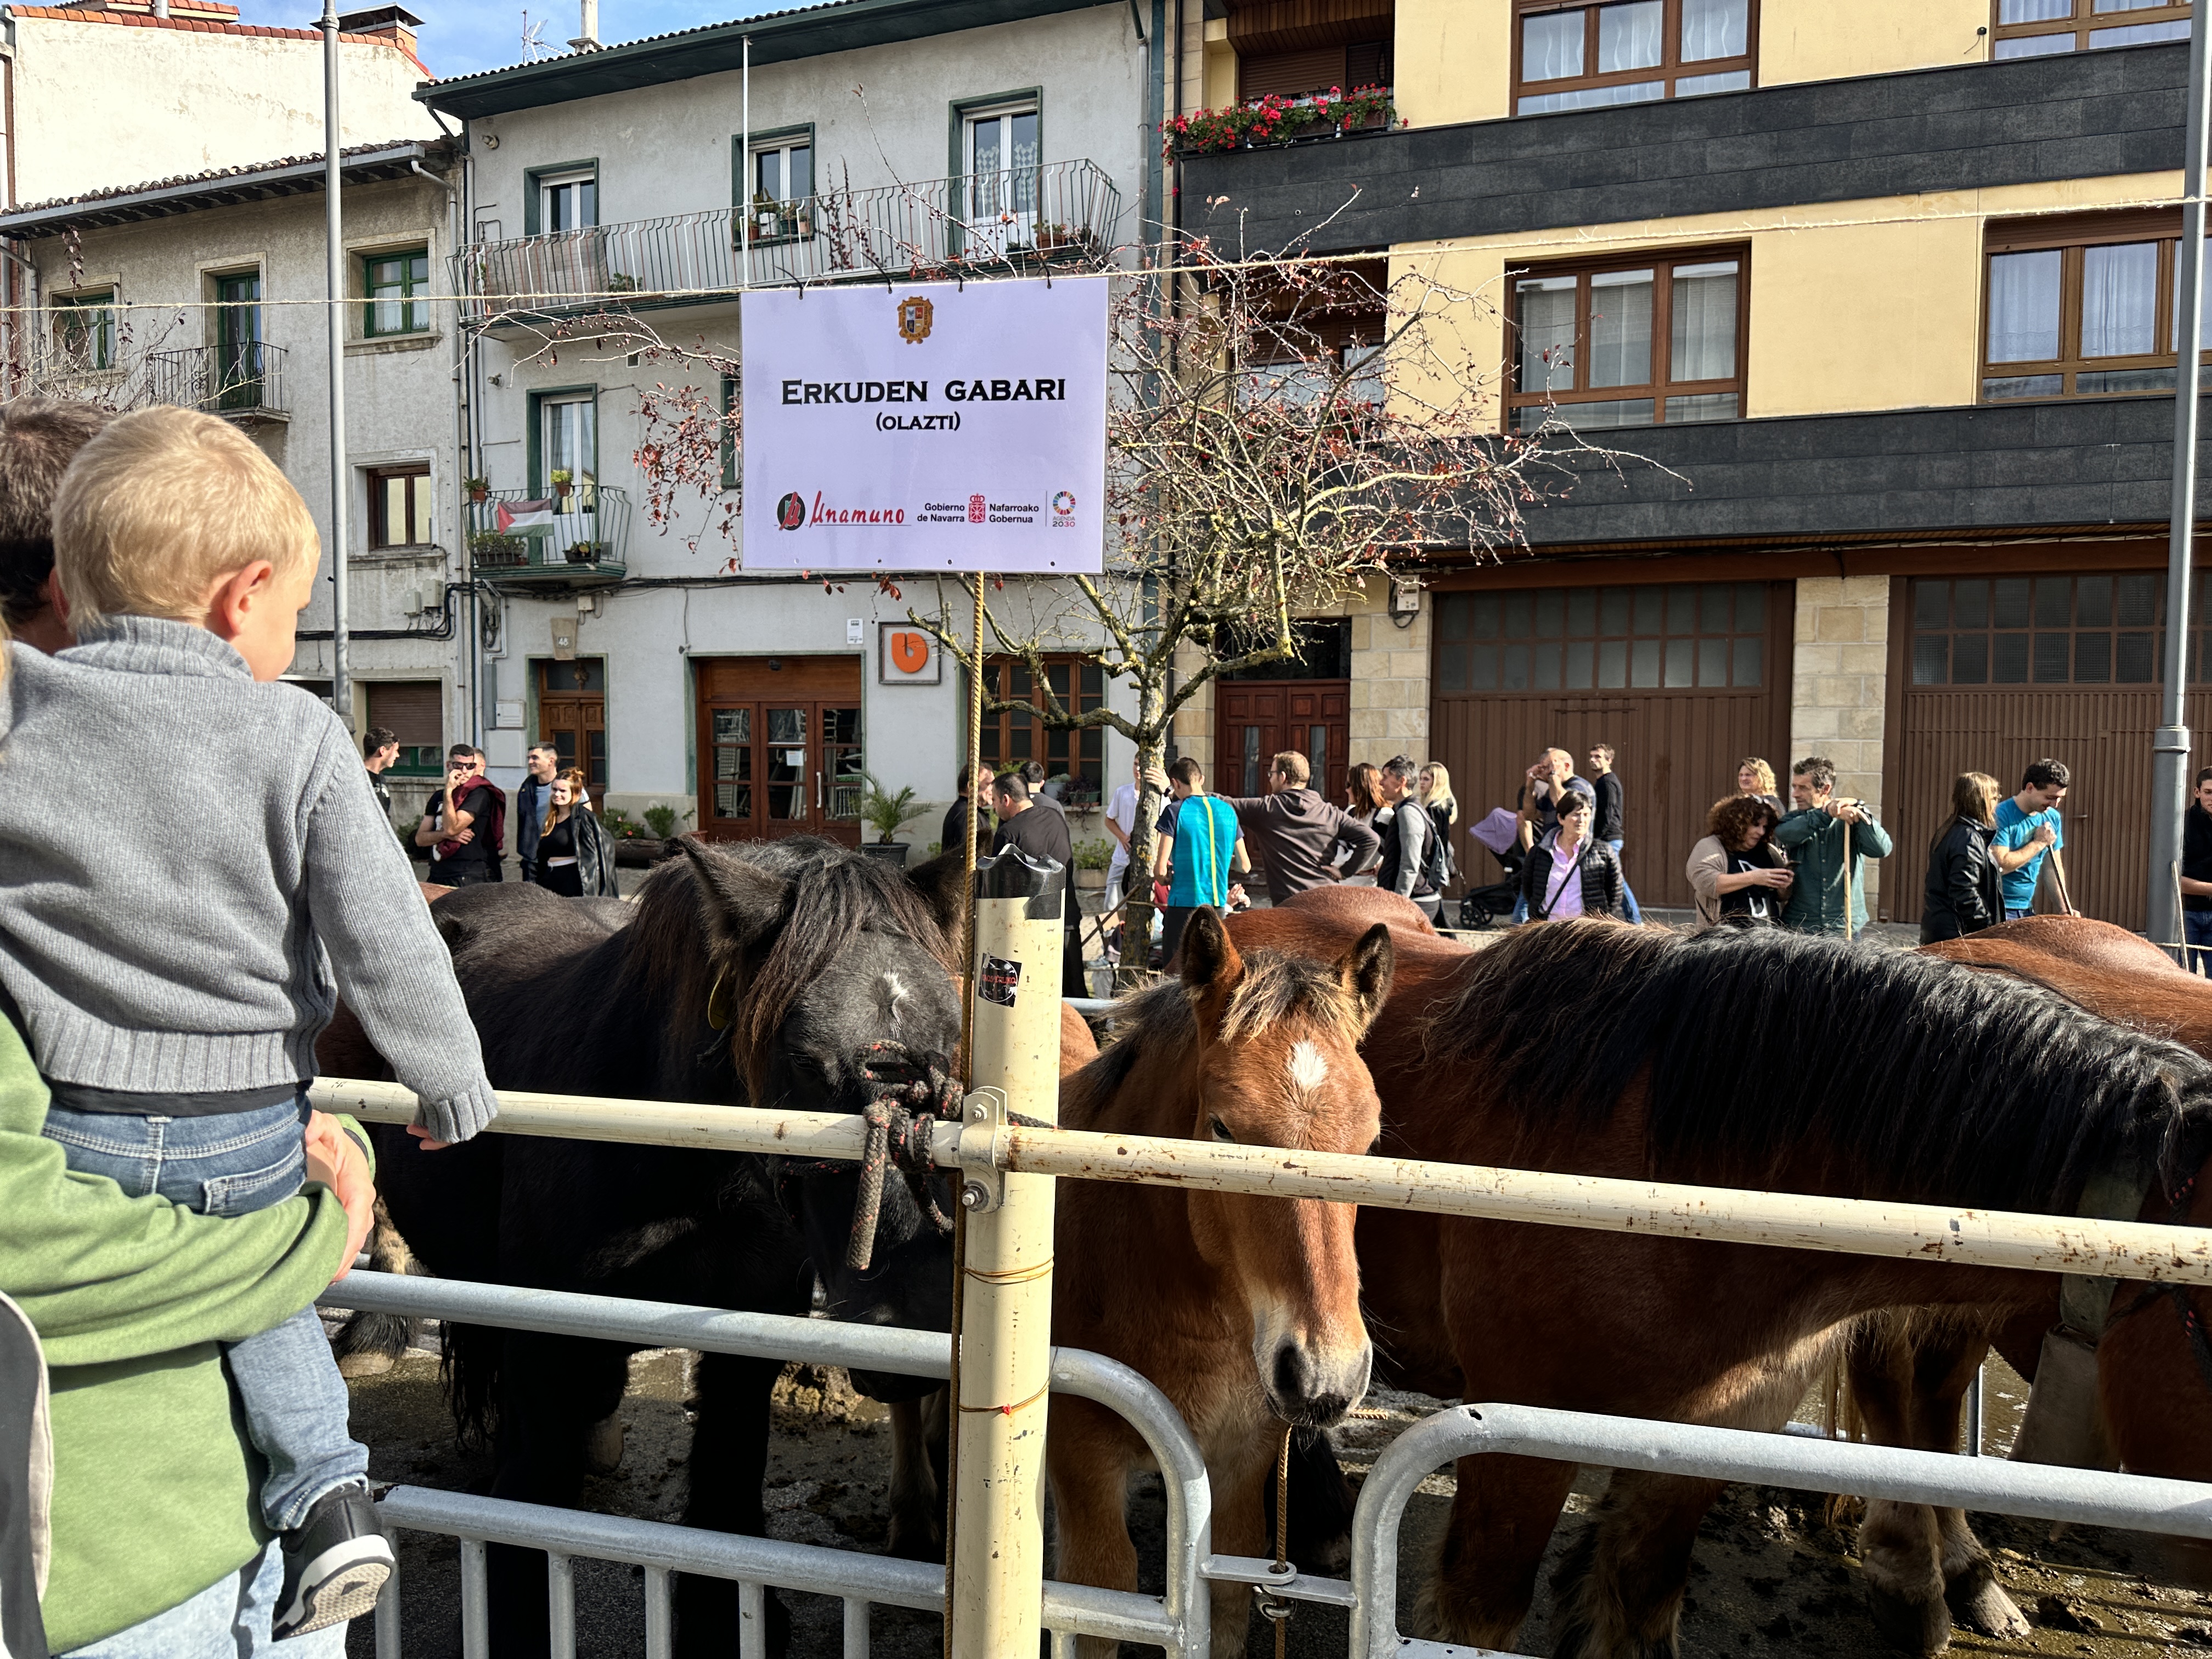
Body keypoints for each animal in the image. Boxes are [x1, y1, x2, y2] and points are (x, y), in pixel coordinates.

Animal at [361, 837, 972, 1656]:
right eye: (802, 1059)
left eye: (952, 1042)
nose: (915, 1313)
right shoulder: (543, 1335)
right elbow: (533, 1491)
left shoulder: (749, 1332)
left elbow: (726, 1478)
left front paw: (725, 1621)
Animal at [1048, 907, 1395, 1659]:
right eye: (1222, 1129)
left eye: (1373, 1141)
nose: (1325, 1374)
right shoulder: (1082, 1460)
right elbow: (1101, 1593)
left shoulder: (1242, 1462)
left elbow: (1231, 1596)